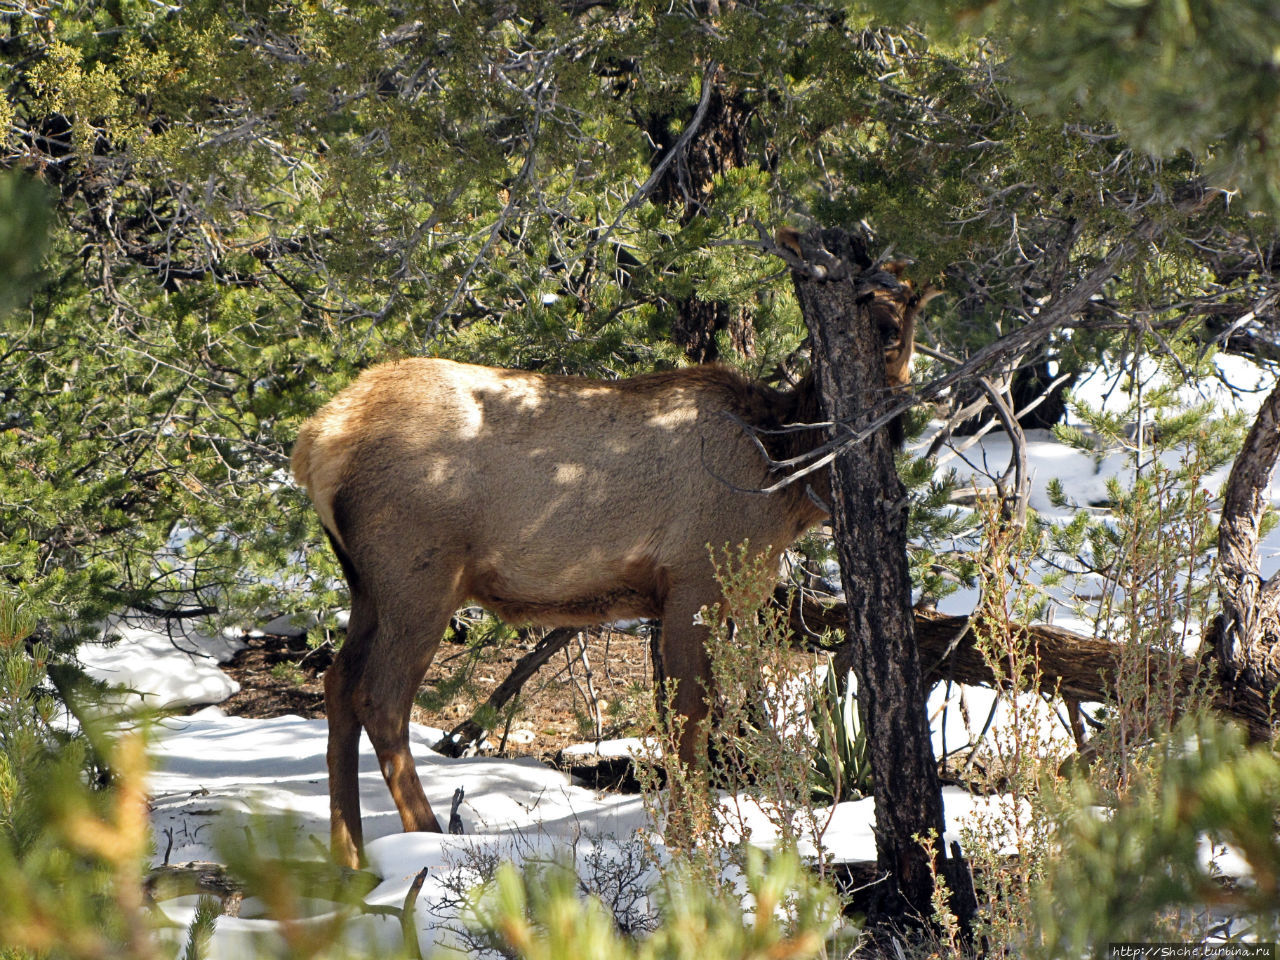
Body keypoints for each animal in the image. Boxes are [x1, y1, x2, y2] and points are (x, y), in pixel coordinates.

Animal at [291, 264, 931, 870]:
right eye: (866, 312)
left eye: (904, 315)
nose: (886, 349)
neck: (786, 479)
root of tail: (315, 442)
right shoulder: (693, 582)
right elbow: (689, 723)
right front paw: (691, 844)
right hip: (419, 578)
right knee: (381, 698)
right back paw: (427, 837)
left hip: (366, 585)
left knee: (338, 682)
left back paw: (349, 852)